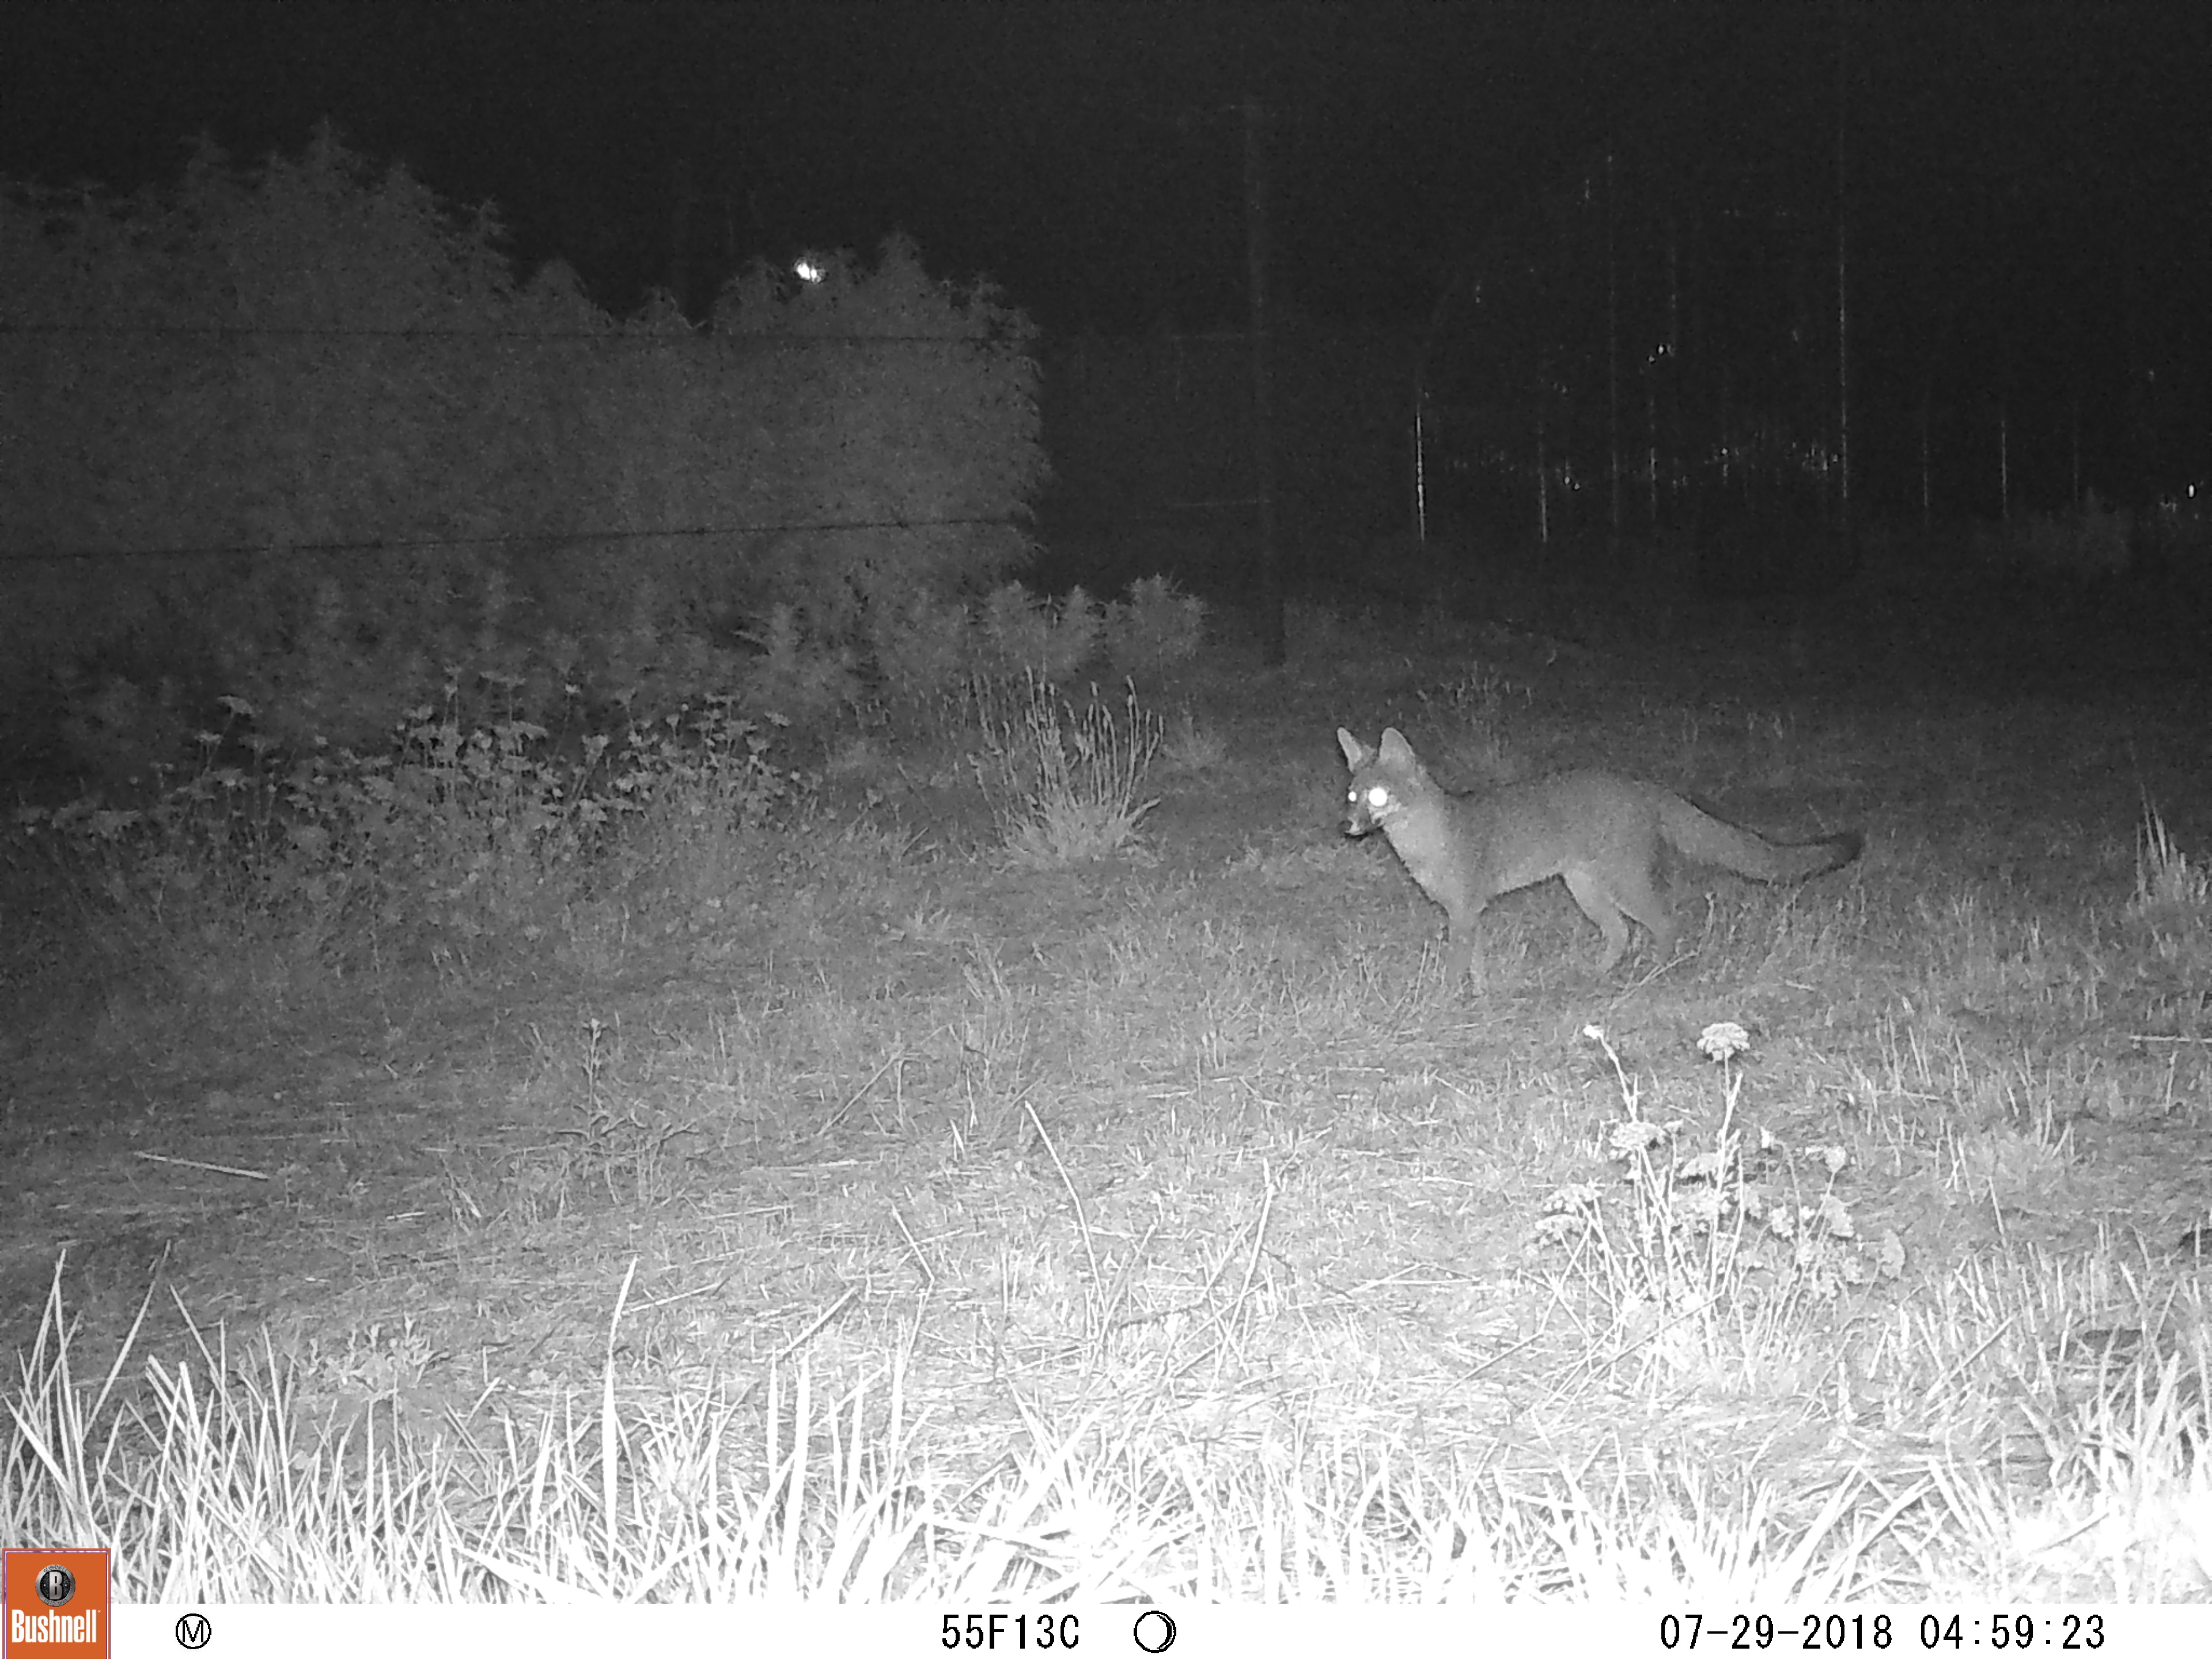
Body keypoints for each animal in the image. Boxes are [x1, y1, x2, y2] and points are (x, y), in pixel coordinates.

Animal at [1327, 725, 1866, 986]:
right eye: (1353, 796)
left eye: (1379, 798)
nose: (1347, 827)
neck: (1428, 838)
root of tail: (1640, 784)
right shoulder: (1465, 913)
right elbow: (1476, 966)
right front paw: (1480, 997)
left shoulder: (1464, 911)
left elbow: (1456, 968)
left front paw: (1441, 1001)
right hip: (1586, 890)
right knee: (1621, 934)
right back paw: (1593, 978)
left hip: (1622, 886)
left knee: (1665, 924)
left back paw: (1651, 976)